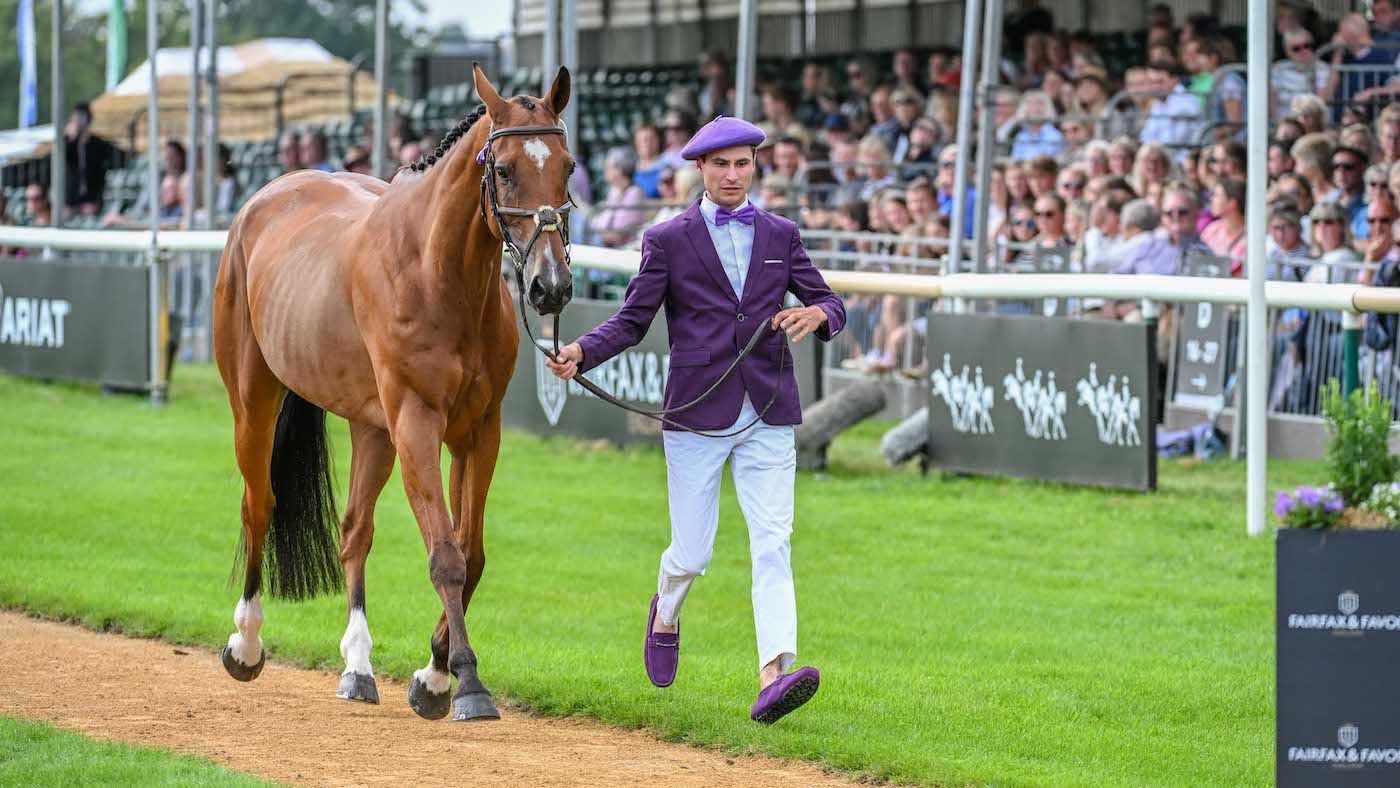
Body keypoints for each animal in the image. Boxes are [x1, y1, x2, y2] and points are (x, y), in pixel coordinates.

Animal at [211, 64, 575, 721]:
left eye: (569, 165)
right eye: (505, 168)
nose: (551, 286)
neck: (439, 276)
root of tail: (266, 197)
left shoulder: (478, 431)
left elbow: (470, 552)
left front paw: (433, 675)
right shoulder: (417, 424)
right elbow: (446, 556)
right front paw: (467, 682)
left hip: (372, 429)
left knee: (354, 530)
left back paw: (357, 666)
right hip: (254, 400)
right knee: (259, 505)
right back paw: (246, 642)